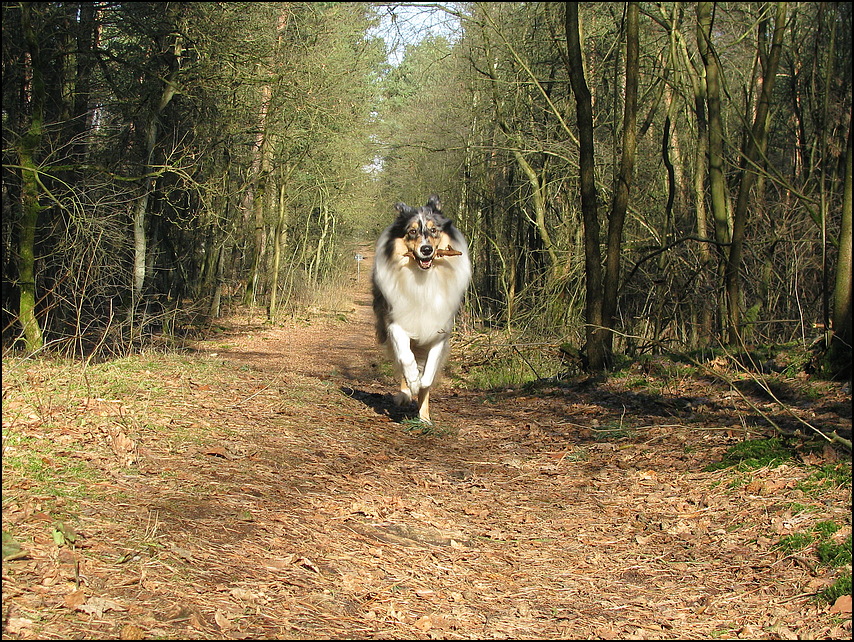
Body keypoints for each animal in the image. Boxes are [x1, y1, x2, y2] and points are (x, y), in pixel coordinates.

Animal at [372, 195, 472, 424]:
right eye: (412, 231)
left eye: (434, 230)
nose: (426, 250)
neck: (423, 280)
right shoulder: (395, 323)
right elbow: (406, 359)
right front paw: (410, 384)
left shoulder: (439, 332)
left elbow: (428, 374)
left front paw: (420, 388)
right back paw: (405, 393)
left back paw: (424, 418)